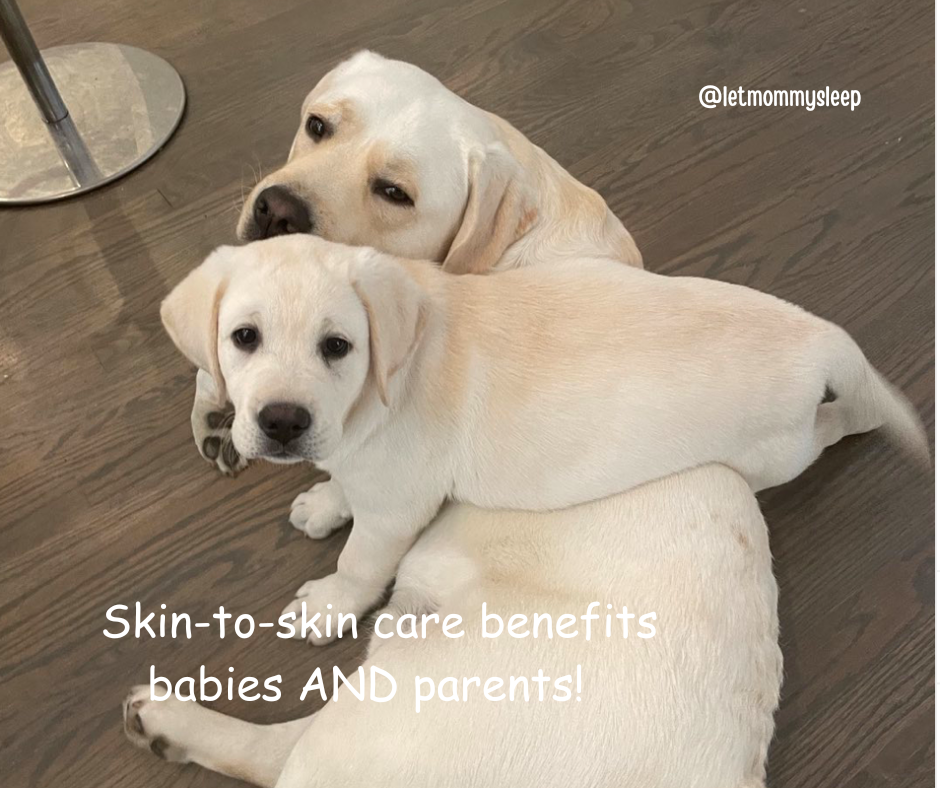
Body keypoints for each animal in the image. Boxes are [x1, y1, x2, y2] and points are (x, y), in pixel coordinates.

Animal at [160, 235, 924, 640]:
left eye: (338, 347)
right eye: (244, 338)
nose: (283, 422)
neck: (378, 393)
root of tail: (818, 336)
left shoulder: (398, 505)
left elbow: (360, 562)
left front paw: (329, 606)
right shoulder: (369, 468)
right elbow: (345, 484)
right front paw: (325, 500)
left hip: (778, 451)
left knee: (832, 428)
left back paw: (855, 417)